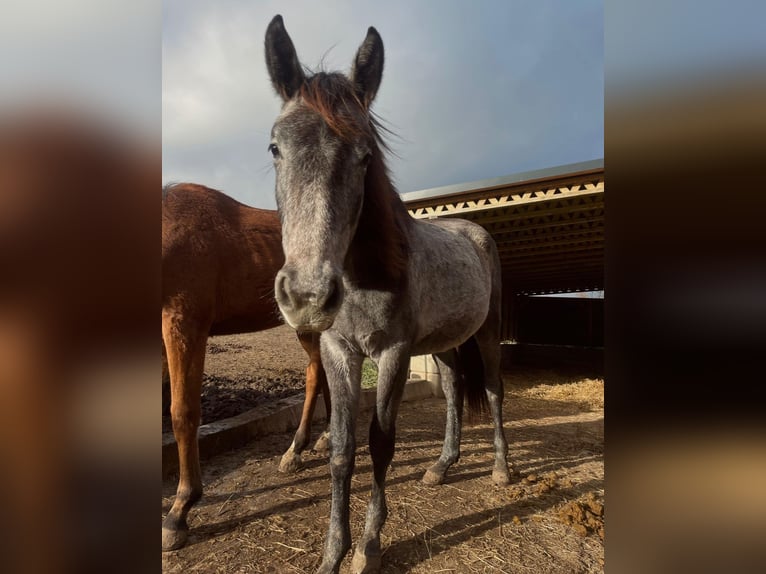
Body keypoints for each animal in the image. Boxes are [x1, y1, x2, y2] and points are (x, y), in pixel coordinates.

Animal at [264, 15, 513, 573]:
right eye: (274, 147)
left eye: (364, 155)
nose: (308, 295)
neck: (366, 278)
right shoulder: (339, 350)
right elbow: (343, 448)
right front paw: (332, 553)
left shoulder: (394, 352)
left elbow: (381, 443)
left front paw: (370, 546)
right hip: (443, 344)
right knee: (452, 393)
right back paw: (442, 466)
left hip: (486, 333)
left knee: (491, 389)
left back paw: (501, 469)